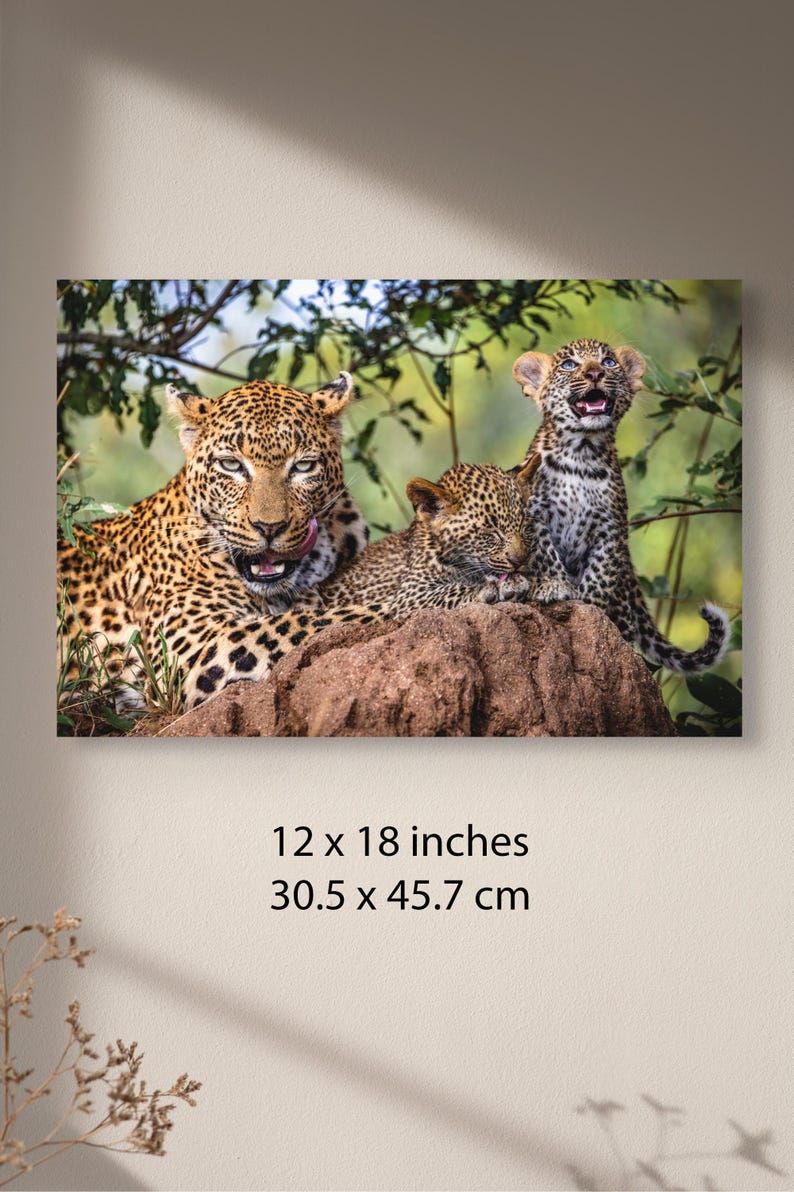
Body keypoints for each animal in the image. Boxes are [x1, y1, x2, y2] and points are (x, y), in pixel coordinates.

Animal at [318, 458, 540, 615]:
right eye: (491, 531)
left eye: (525, 527)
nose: (520, 560)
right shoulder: (409, 594)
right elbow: (450, 590)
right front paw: (488, 589)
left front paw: (518, 582)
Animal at [511, 338, 729, 672]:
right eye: (570, 365)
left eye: (609, 362)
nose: (595, 373)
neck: (581, 453)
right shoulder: (536, 514)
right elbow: (546, 554)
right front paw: (555, 587)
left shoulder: (611, 526)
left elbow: (600, 572)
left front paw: (591, 606)